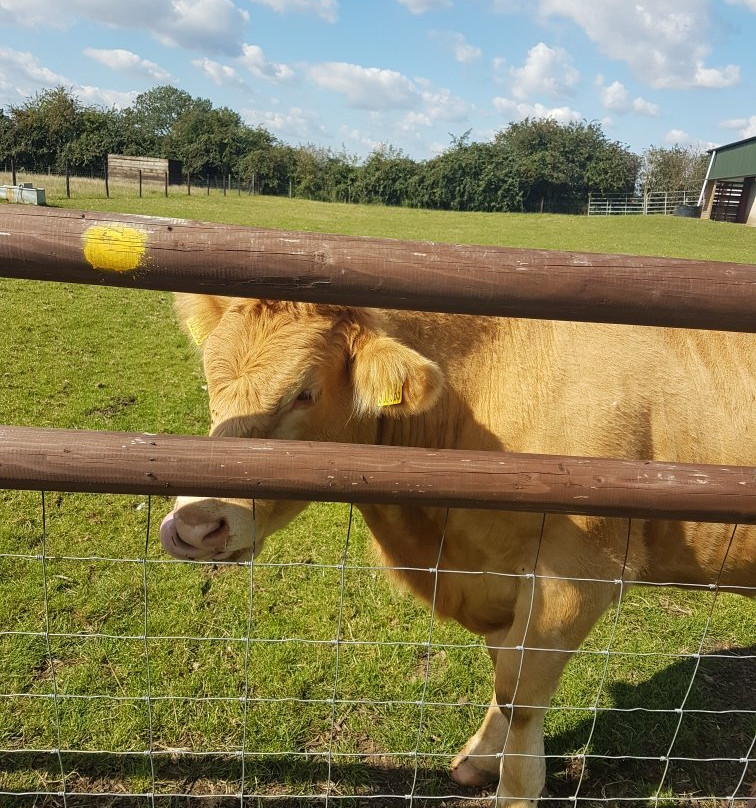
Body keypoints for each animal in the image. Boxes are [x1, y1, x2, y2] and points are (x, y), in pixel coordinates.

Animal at [159, 292, 756, 808]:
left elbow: (519, 691)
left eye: (305, 392)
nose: (193, 526)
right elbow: (501, 671)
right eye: (210, 378)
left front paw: (516, 790)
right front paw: (481, 758)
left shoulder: (580, 575)